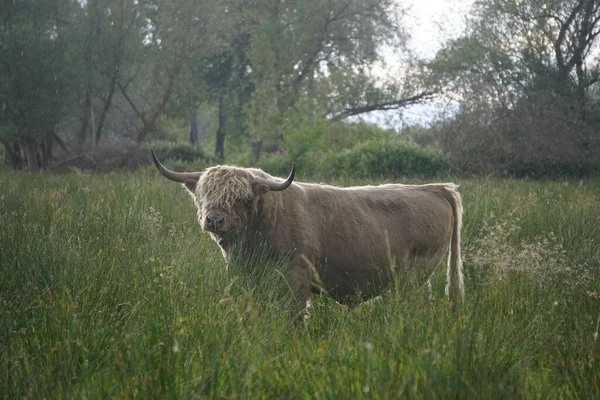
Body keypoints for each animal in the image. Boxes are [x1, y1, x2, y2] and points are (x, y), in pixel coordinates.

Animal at [150, 149, 464, 310]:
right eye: (202, 195)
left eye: (243, 199)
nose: (214, 220)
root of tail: (436, 188)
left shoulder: (295, 280)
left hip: (414, 277)